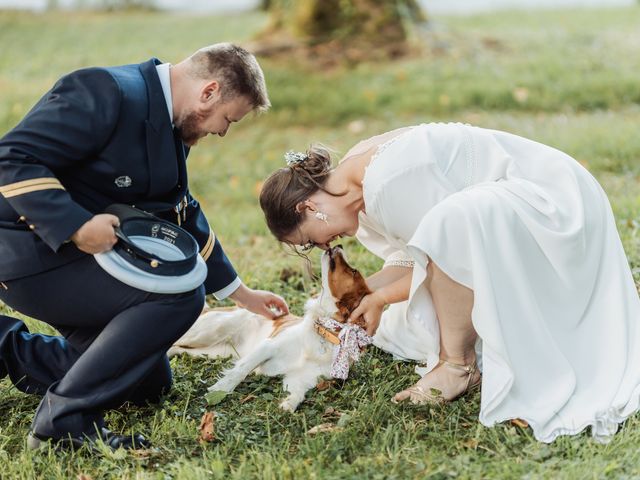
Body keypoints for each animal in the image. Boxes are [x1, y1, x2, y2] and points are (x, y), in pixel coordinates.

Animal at [168, 246, 372, 410]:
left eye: (353, 271)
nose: (339, 245)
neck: (326, 333)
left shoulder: (301, 377)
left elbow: (298, 394)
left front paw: (288, 405)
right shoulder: (268, 347)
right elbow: (241, 370)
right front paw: (221, 389)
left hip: (213, 352)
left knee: (177, 348)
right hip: (208, 331)